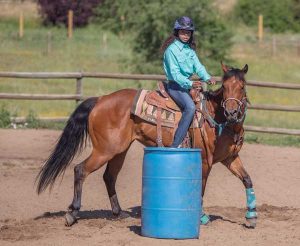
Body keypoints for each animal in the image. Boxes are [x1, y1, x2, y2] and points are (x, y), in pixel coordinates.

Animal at [36, 63, 258, 229]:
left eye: (242, 87)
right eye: (225, 86)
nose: (231, 113)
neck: (216, 118)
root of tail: (100, 100)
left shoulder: (230, 158)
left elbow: (247, 179)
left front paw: (251, 217)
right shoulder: (204, 160)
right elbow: (200, 188)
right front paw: (201, 217)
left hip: (119, 151)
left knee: (109, 176)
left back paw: (118, 212)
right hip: (104, 150)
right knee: (80, 170)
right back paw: (72, 213)